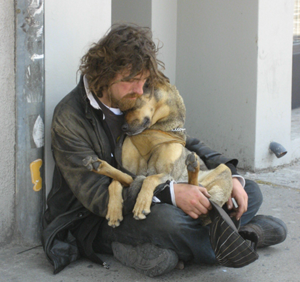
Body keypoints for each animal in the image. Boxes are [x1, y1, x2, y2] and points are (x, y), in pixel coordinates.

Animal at [83, 83, 233, 227]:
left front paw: (141, 204)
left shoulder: (167, 174)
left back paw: (193, 166)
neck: (153, 131)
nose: (123, 128)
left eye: (133, 106)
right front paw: (114, 210)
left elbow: (150, 179)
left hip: (223, 170)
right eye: (123, 110)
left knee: (198, 190)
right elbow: (114, 183)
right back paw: (98, 165)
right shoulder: (128, 169)